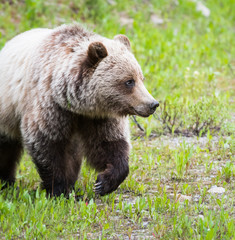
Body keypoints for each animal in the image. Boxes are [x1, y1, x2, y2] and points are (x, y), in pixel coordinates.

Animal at [0, 24, 159, 196]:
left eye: (141, 78)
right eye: (129, 81)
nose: (152, 104)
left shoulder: (98, 117)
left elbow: (108, 143)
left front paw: (103, 183)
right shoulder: (50, 105)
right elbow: (46, 143)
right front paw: (58, 189)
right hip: (6, 112)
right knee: (6, 148)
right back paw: (6, 182)